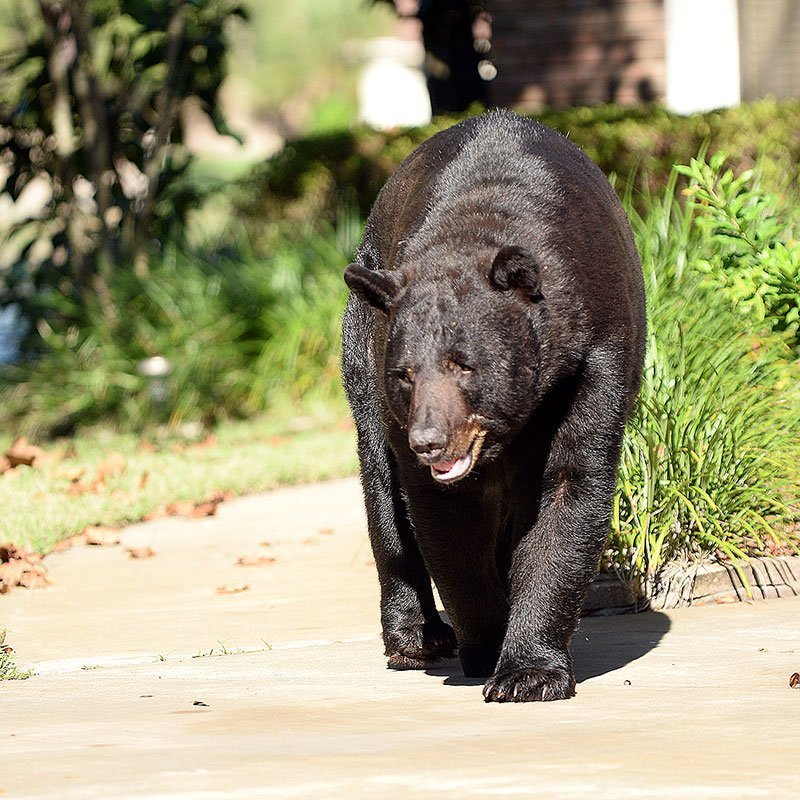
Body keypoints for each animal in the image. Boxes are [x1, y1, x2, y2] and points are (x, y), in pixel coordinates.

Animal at [340, 109, 648, 704]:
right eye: (405, 374)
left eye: (464, 364)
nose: (429, 441)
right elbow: (445, 521)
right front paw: (486, 645)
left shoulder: (592, 356)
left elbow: (570, 488)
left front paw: (528, 671)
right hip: (361, 339)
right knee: (381, 488)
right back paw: (415, 637)